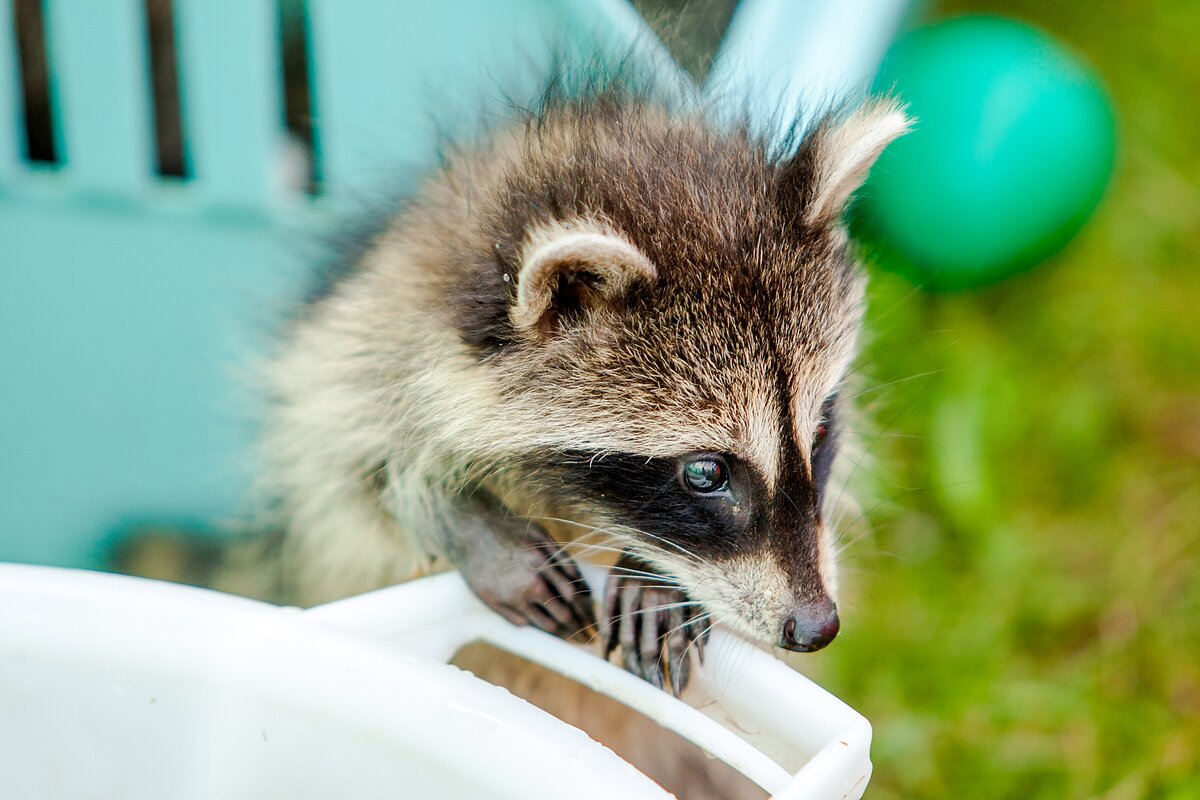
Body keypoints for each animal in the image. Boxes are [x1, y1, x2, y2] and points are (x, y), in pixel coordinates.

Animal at [255, 81, 907, 700]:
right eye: (705, 473)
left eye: (819, 430)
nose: (817, 627)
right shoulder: (370, 338)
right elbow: (353, 472)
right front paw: (466, 523)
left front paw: (654, 575)